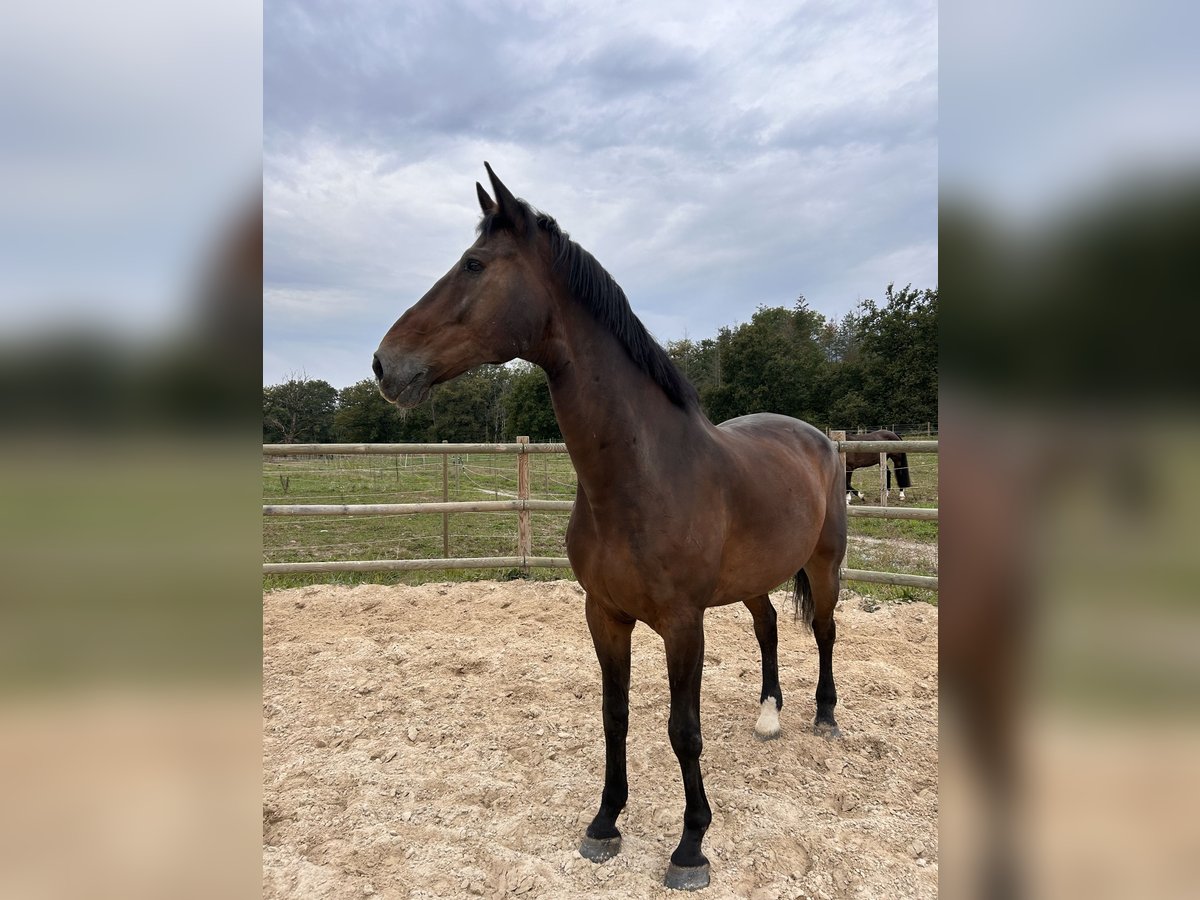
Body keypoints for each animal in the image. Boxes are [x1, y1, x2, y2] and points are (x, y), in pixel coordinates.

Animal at [369, 165, 849, 892]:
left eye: (475, 264)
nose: (384, 364)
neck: (642, 473)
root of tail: (818, 438)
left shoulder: (683, 623)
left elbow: (684, 729)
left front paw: (691, 846)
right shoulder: (605, 614)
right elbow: (614, 716)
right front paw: (605, 823)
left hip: (824, 564)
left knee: (822, 631)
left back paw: (823, 716)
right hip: (753, 579)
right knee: (768, 625)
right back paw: (769, 713)